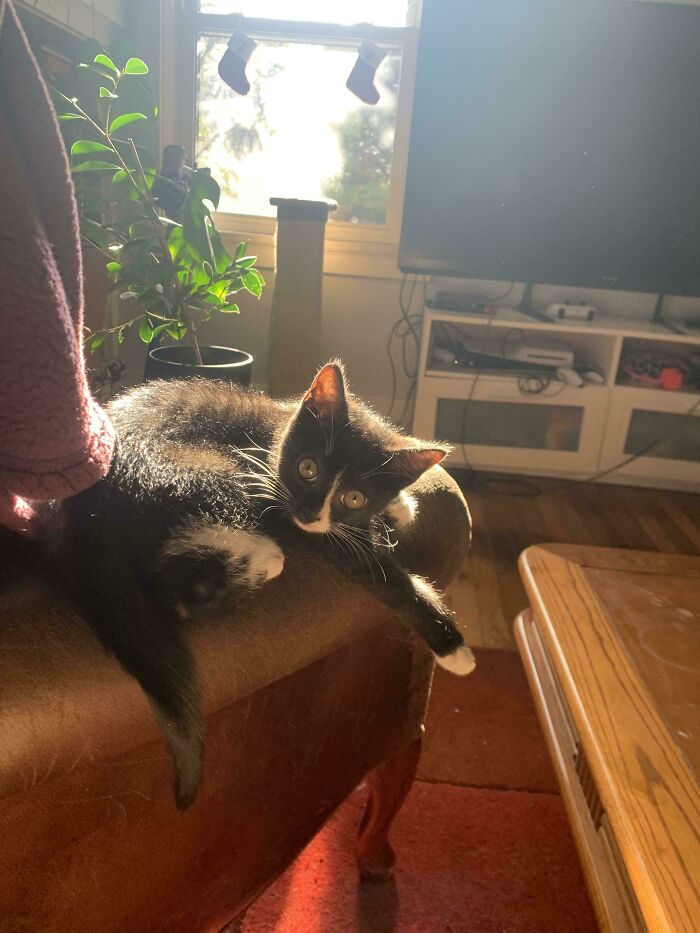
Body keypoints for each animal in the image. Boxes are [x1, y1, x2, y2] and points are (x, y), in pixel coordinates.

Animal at [42, 360, 470, 804]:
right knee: (175, 588)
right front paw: (453, 647)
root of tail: (84, 513)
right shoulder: (288, 504)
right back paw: (264, 559)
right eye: (308, 468)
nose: (310, 513)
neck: (278, 435)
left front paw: (401, 505)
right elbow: (380, 572)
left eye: (354, 497)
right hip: (203, 471)